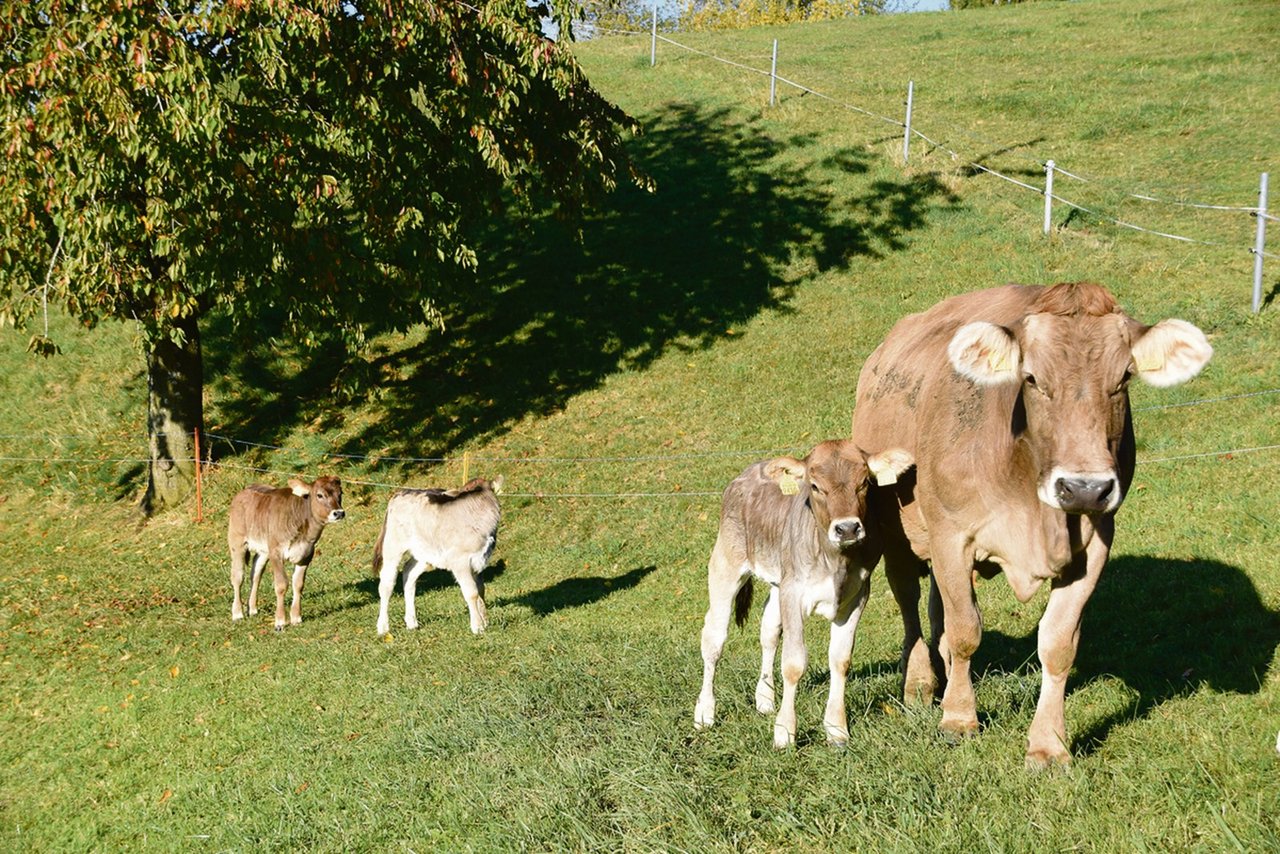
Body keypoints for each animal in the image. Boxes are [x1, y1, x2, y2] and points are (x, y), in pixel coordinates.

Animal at [226, 478, 343, 632]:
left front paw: (296, 618)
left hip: (264, 550)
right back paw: (238, 613)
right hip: (237, 541)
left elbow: (298, 584)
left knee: (255, 574)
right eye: (319, 495)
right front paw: (280, 622)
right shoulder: (276, 552)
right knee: (237, 577)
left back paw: (252, 609)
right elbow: (281, 585)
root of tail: (244, 491)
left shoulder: (307, 554)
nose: (339, 513)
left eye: (340, 493)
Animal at [373, 478, 501, 637]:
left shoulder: (480, 560)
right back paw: (383, 627)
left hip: (424, 553)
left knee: (409, 573)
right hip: (393, 546)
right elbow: (471, 592)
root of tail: (399, 493)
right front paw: (477, 627)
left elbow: (481, 590)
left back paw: (412, 622)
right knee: (387, 582)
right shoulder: (460, 562)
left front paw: (485, 621)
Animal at [696, 440, 916, 747]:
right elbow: (793, 663)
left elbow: (840, 660)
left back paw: (765, 699)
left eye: (864, 483)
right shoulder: (795, 592)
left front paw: (837, 730)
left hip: (779, 580)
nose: (847, 528)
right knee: (714, 638)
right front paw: (784, 732)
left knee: (768, 631)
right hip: (726, 564)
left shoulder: (857, 595)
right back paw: (705, 713)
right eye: (814, 486)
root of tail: (746, 473)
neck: (835, 561)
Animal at [860, 281, 1208, 768]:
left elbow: (1057, 642)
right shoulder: (952, 534)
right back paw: (921, 683)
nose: (1084, 488)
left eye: (1124, 377)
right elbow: (966, 629)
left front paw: (1048, 744)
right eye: (1031, 378)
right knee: (908, 597)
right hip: (897, 529)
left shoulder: (1095, 543)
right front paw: (959, 719)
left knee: (936, 607)